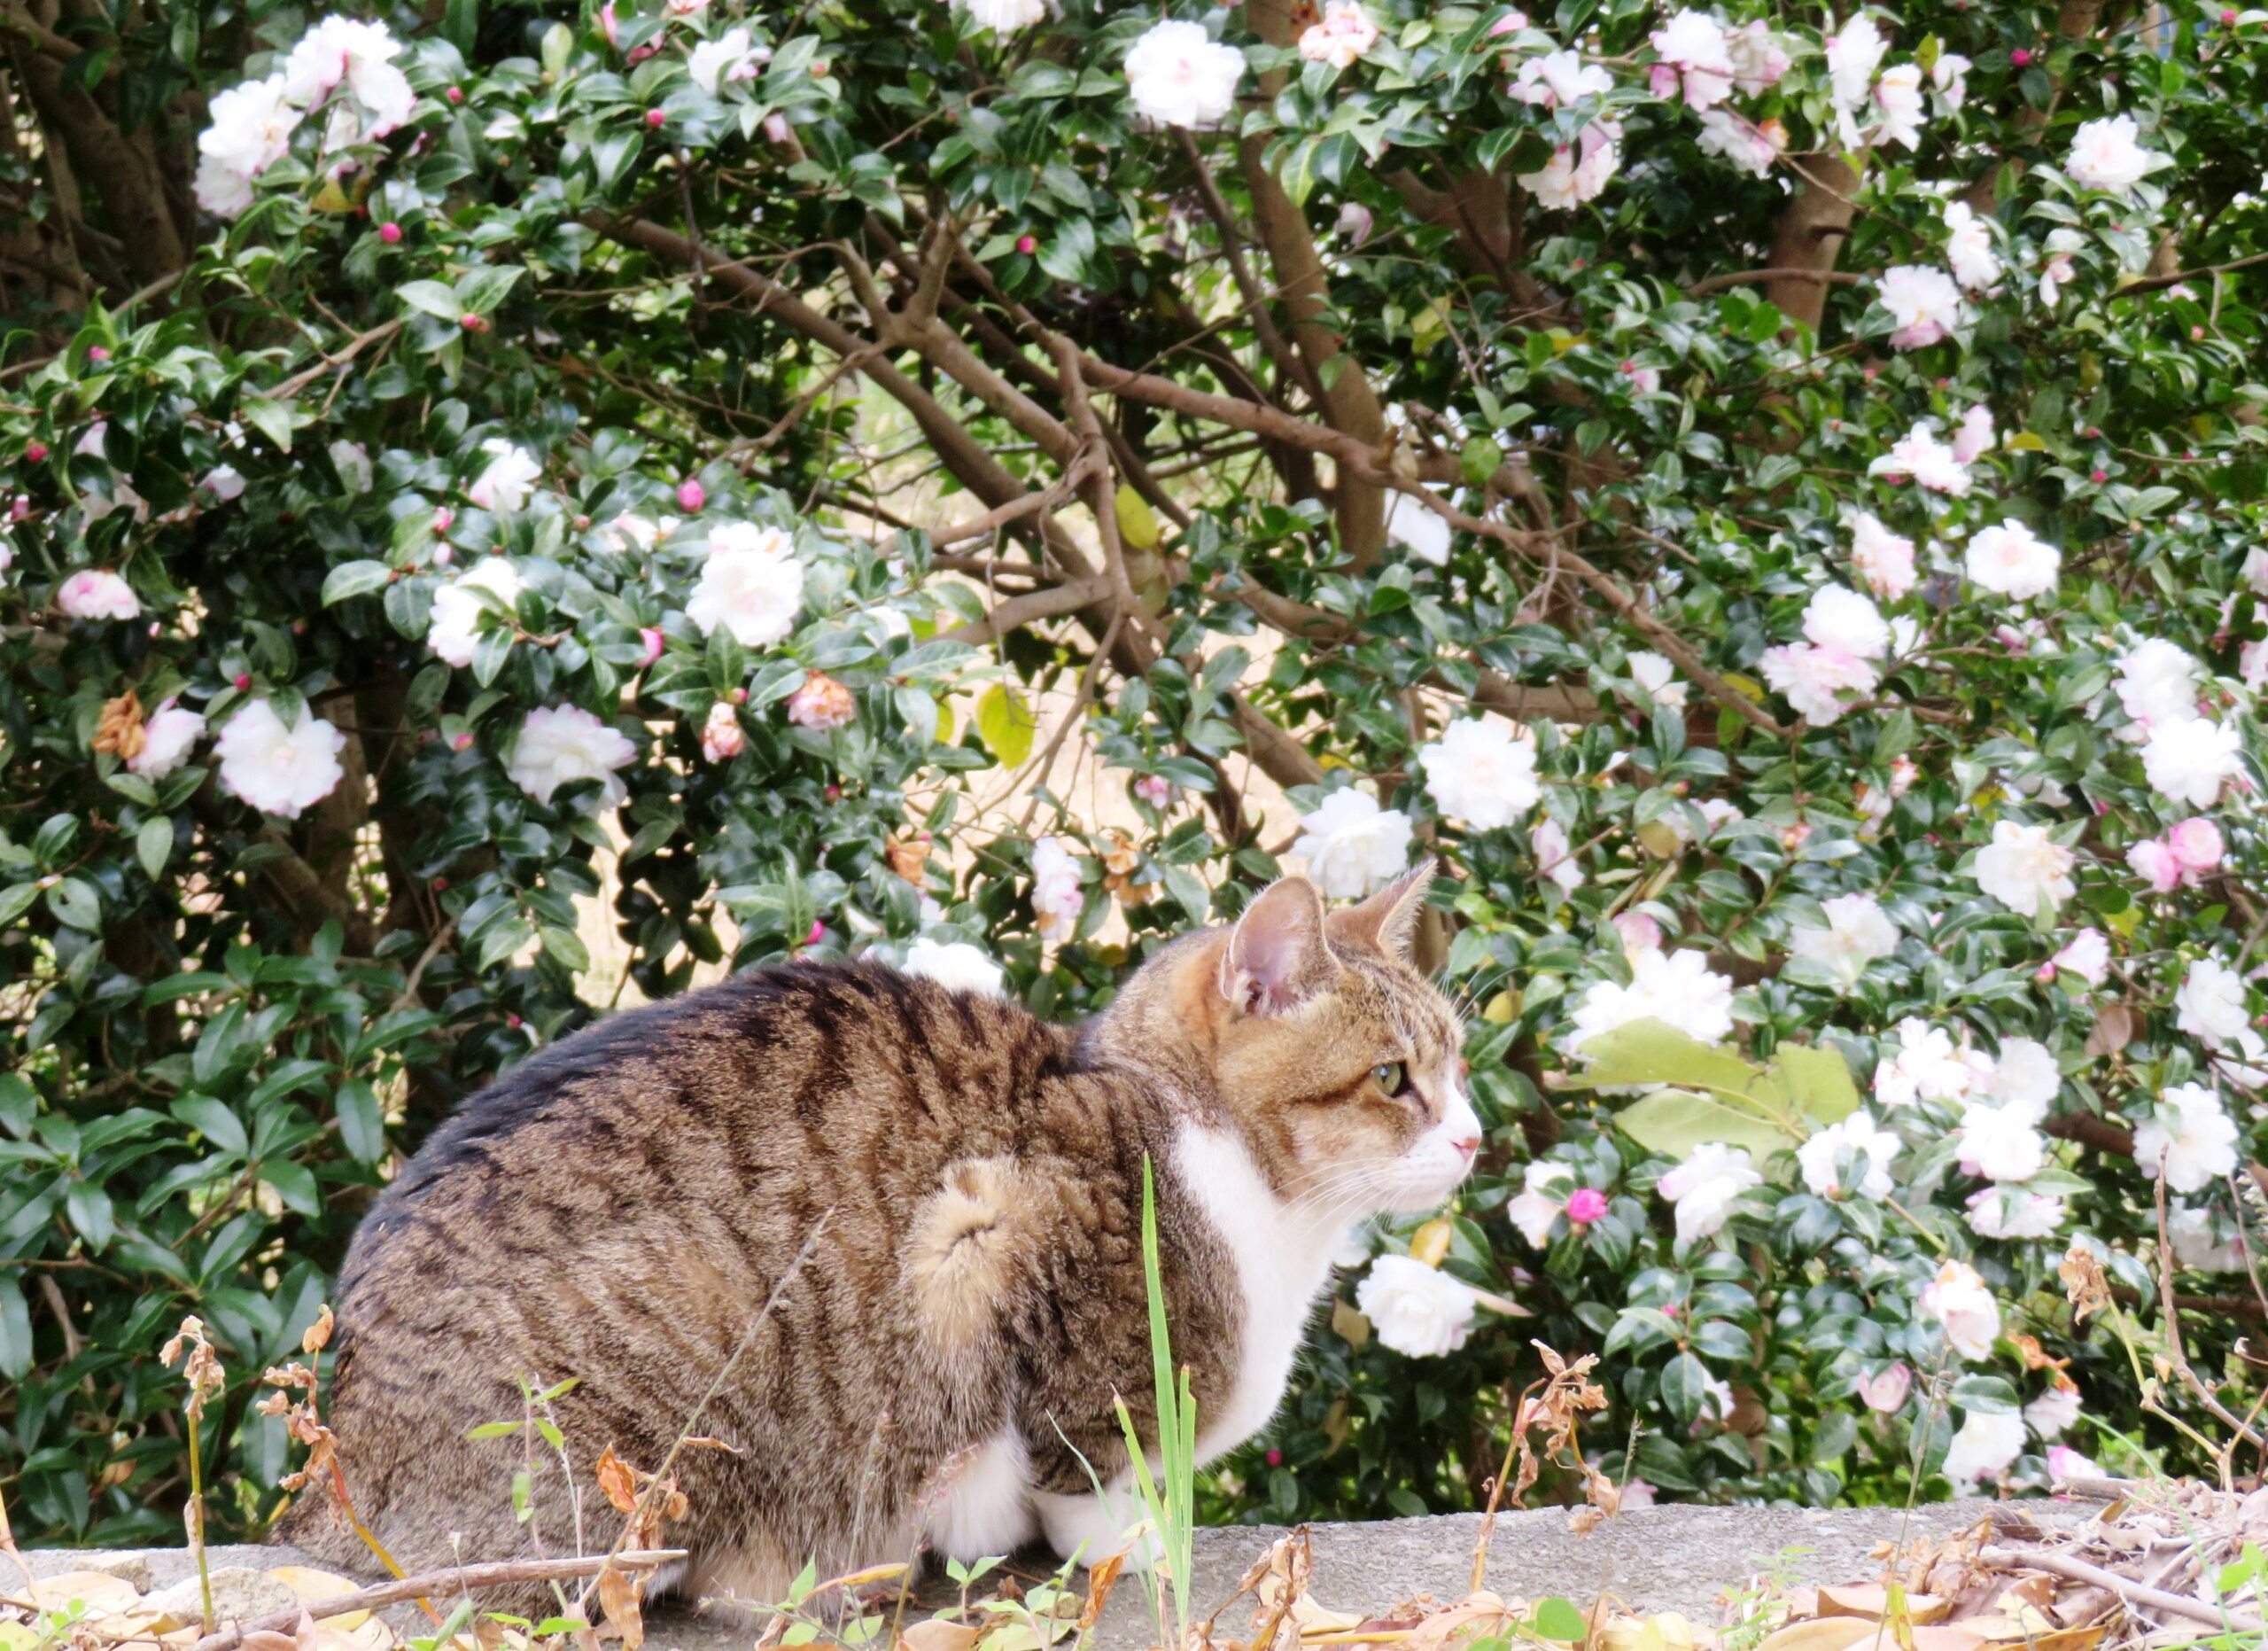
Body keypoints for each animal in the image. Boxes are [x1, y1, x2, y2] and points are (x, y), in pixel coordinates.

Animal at [278, 866, 1487, 1615]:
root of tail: (336, 1492)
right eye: (1393, 1078)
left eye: (1457, 1065)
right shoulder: (986, 1241)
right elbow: (1087, 1463)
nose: (1475, 1136)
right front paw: (1139, 1544)